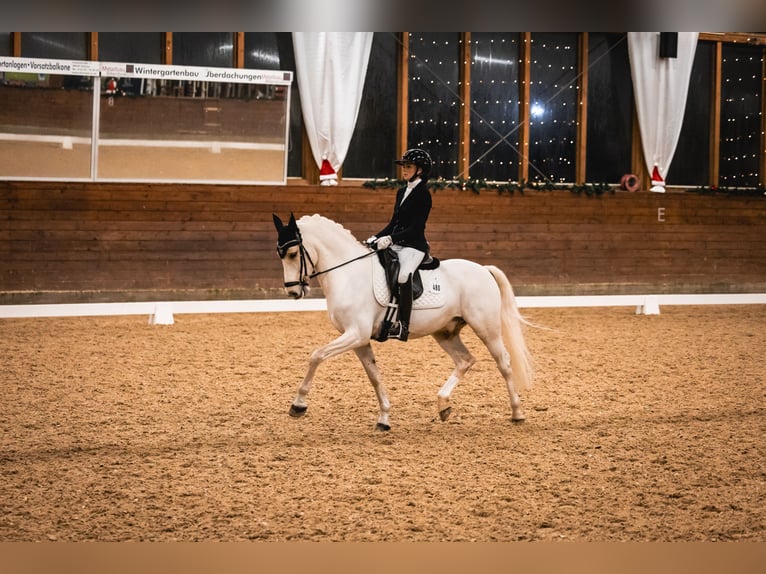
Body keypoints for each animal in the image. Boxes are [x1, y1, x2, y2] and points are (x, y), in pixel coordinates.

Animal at [274, 214, 536, 430]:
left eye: (293, 254)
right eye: (280, 254)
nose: (293, 292)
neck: (349, 274)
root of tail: (483, 269)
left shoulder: (355, 334)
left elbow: (316, 356)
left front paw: (298, 405)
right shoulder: (359, 340)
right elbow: (374, 376)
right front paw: (384, 418)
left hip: (486, 328)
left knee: (504, 363)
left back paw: (517, 413)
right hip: (445, 332)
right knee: (465, 360)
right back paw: (443, 405)